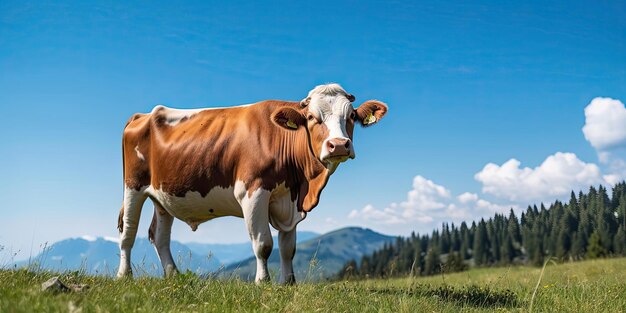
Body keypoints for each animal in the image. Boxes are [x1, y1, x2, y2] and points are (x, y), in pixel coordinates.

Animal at [116, 83, 386, 282]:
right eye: (311, 117)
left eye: (351, 116)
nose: (338, 145)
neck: (304, 186)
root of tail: (143, 115)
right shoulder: (253, 191)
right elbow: (263, 244)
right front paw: (263, 281)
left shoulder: (290, 201)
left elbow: (288, 247)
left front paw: (288, 282)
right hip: (133, 187)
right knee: (128, 232)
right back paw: (124, 275)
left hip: (164, 195)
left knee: (159, 236)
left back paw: (173, 275)